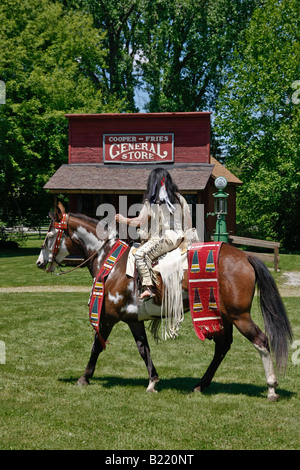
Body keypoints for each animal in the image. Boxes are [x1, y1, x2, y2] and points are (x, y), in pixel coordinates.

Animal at [35, 205, 292, 400]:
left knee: (261, 340)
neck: (111, 262)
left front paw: (84, 377)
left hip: (240, 316)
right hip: (225, 316)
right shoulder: (133, 320)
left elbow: (97, 346)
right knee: (222, 347)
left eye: (49, 236)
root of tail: (245, 256)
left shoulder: (108, 317)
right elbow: (143, 349)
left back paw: (271, 388)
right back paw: (201, 384)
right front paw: (152, 381)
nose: (39, 262)